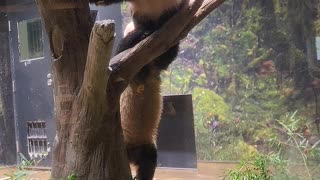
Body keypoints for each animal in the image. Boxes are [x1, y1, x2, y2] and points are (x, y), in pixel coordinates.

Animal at [90, 0, 185, 179]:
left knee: (149, 160)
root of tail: (130, 153)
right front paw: (139, 34)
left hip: (144, 145)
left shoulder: (155, 66)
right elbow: (120, 52)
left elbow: (166, 56)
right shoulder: (127, 65)